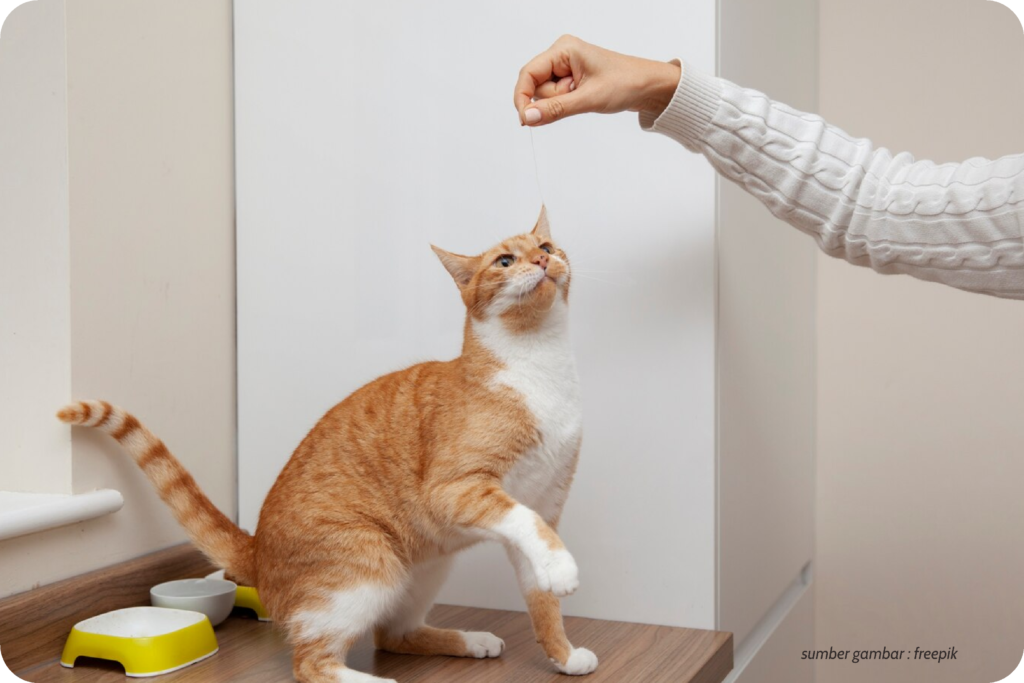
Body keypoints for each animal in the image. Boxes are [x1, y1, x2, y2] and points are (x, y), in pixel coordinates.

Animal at [56, 208, 598, 683]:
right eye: (505, 261)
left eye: (547, 247)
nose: (542, 260)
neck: (538, 367)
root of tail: (256, 550)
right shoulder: (458, 489)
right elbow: (527, 526)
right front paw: (564, 570)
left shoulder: (545, 502)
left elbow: (542, 597)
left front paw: (563, 654)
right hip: (367, 562)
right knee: (313, 663)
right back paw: (377, 682)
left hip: (424, 567)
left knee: (392, 635)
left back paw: (469, 640)